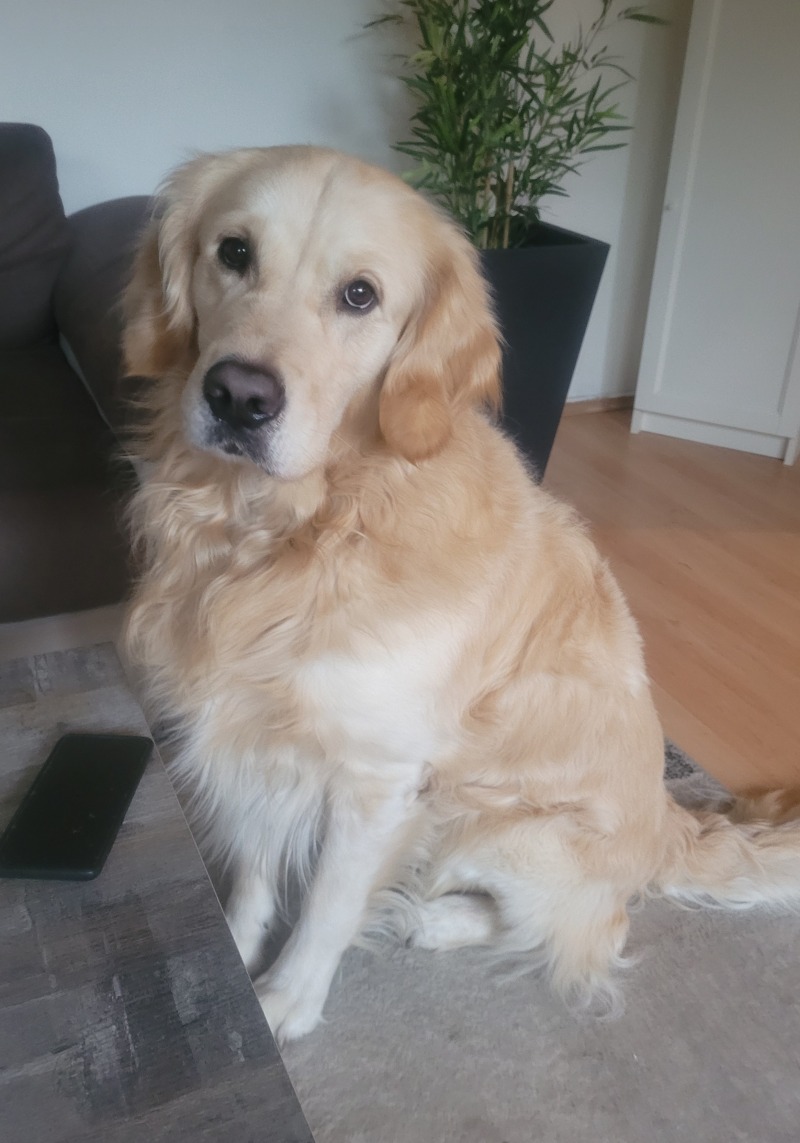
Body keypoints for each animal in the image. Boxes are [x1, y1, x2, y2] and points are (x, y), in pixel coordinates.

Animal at [122, 145, 800, 1044]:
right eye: (234, 252)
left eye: (360, 295)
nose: (237, 395)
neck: (304, 527)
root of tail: (668, 822)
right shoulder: (254, 733)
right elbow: (254, 873)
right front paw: (233, 958)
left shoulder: (376, 778)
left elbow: (327, 909)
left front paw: (283, 1004)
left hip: (485, 818)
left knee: (586, 925)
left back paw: (432, 918)